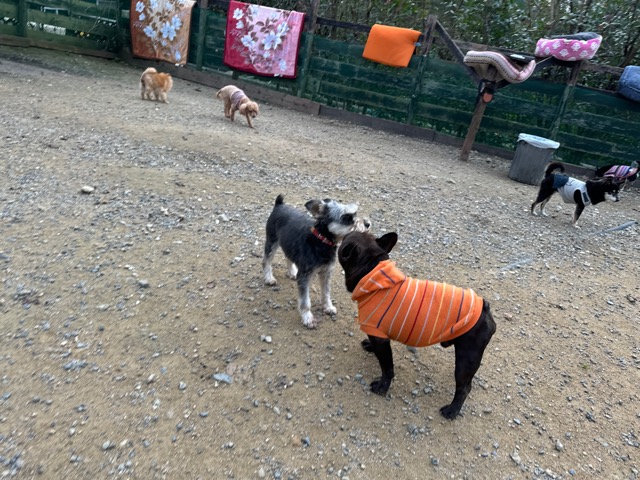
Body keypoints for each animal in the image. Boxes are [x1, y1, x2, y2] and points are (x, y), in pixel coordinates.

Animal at [263, 195, 369, 329]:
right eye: (346, 218)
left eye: (355, 213)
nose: (367, 223)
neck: (321, 241)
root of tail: (279, 205)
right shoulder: (305, 276)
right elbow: (305, 301)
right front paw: (308, 317)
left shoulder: (326, 272)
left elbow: (326, 293)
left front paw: (328, 307)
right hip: (272, 242)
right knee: (266, 261)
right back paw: (269, 278)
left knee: (288, 256)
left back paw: (292, 272)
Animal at [337, 231, 496, 420]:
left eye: (345, 238)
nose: (342, 234)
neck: (371, 272)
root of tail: (484, 307)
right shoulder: (377, 335)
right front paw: (369, 345)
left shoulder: (381, 341)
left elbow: (387, 368)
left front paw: (382, 387)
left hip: (466, 358)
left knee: (464, 388)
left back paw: (452, 410)